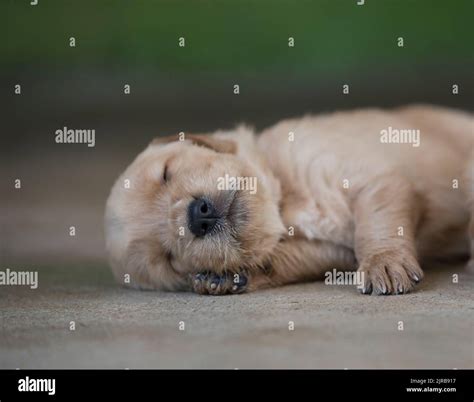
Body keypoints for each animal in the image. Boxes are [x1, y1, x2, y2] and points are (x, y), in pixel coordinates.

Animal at [104, 104, 474, 296]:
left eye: (166, 173)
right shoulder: (332, 250)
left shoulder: (375, 179)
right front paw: (224, 277)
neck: (284, 202)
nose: (199, 216)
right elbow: (284, 258)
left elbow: (378, 224)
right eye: (167, 258)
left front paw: (384, 263)